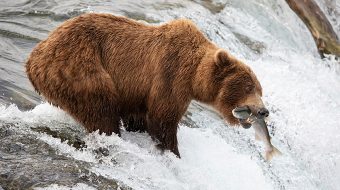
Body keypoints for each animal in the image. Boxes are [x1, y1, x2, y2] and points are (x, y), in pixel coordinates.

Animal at [25, 12, 268, 157]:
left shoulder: (137, 92)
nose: (263, 111)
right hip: (79, 67)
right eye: (248, 87)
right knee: (101, 109)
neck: (194, 76)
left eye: (260, 89)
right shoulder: (170, 75)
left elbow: (139, 117)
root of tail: (33, 57)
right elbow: (162, 119)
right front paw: (173, 152)